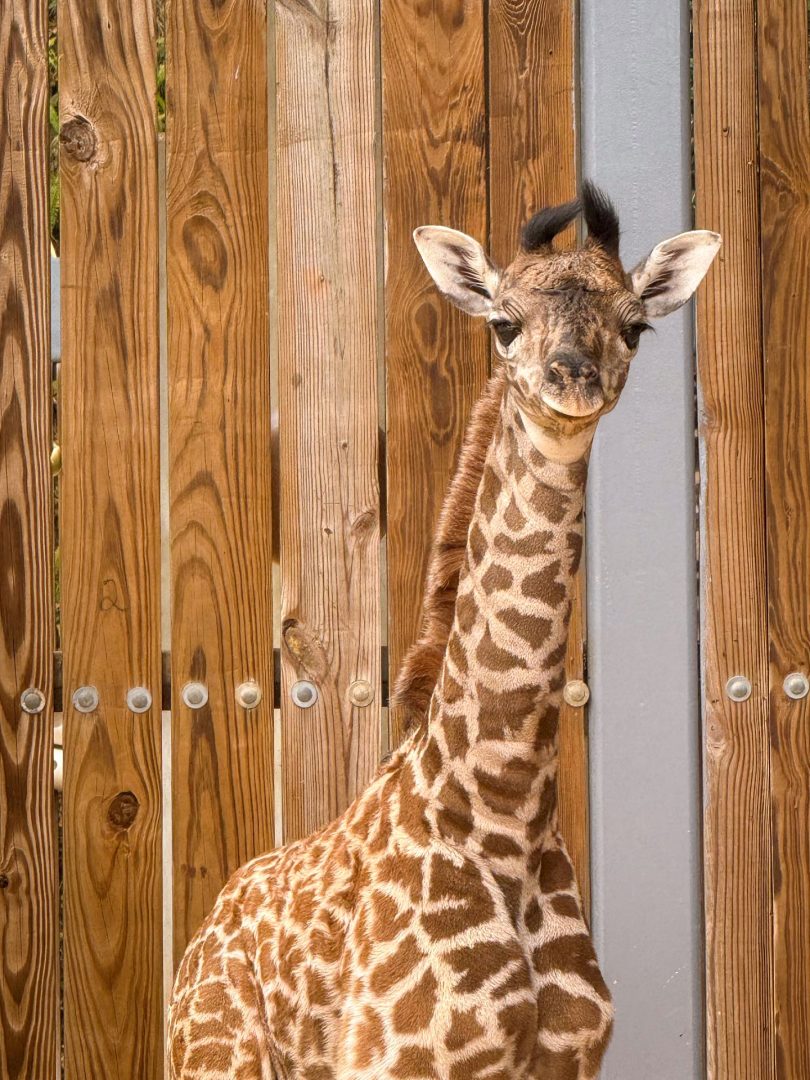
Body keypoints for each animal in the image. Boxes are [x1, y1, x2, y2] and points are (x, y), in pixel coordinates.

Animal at [167, 183, 720, 1080]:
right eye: (503, 323)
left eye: (636, 325)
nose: (574, 380)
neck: (503, 804)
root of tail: (207, 922)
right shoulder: (396, 1059)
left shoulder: (567, 1060)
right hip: (218, 1056)